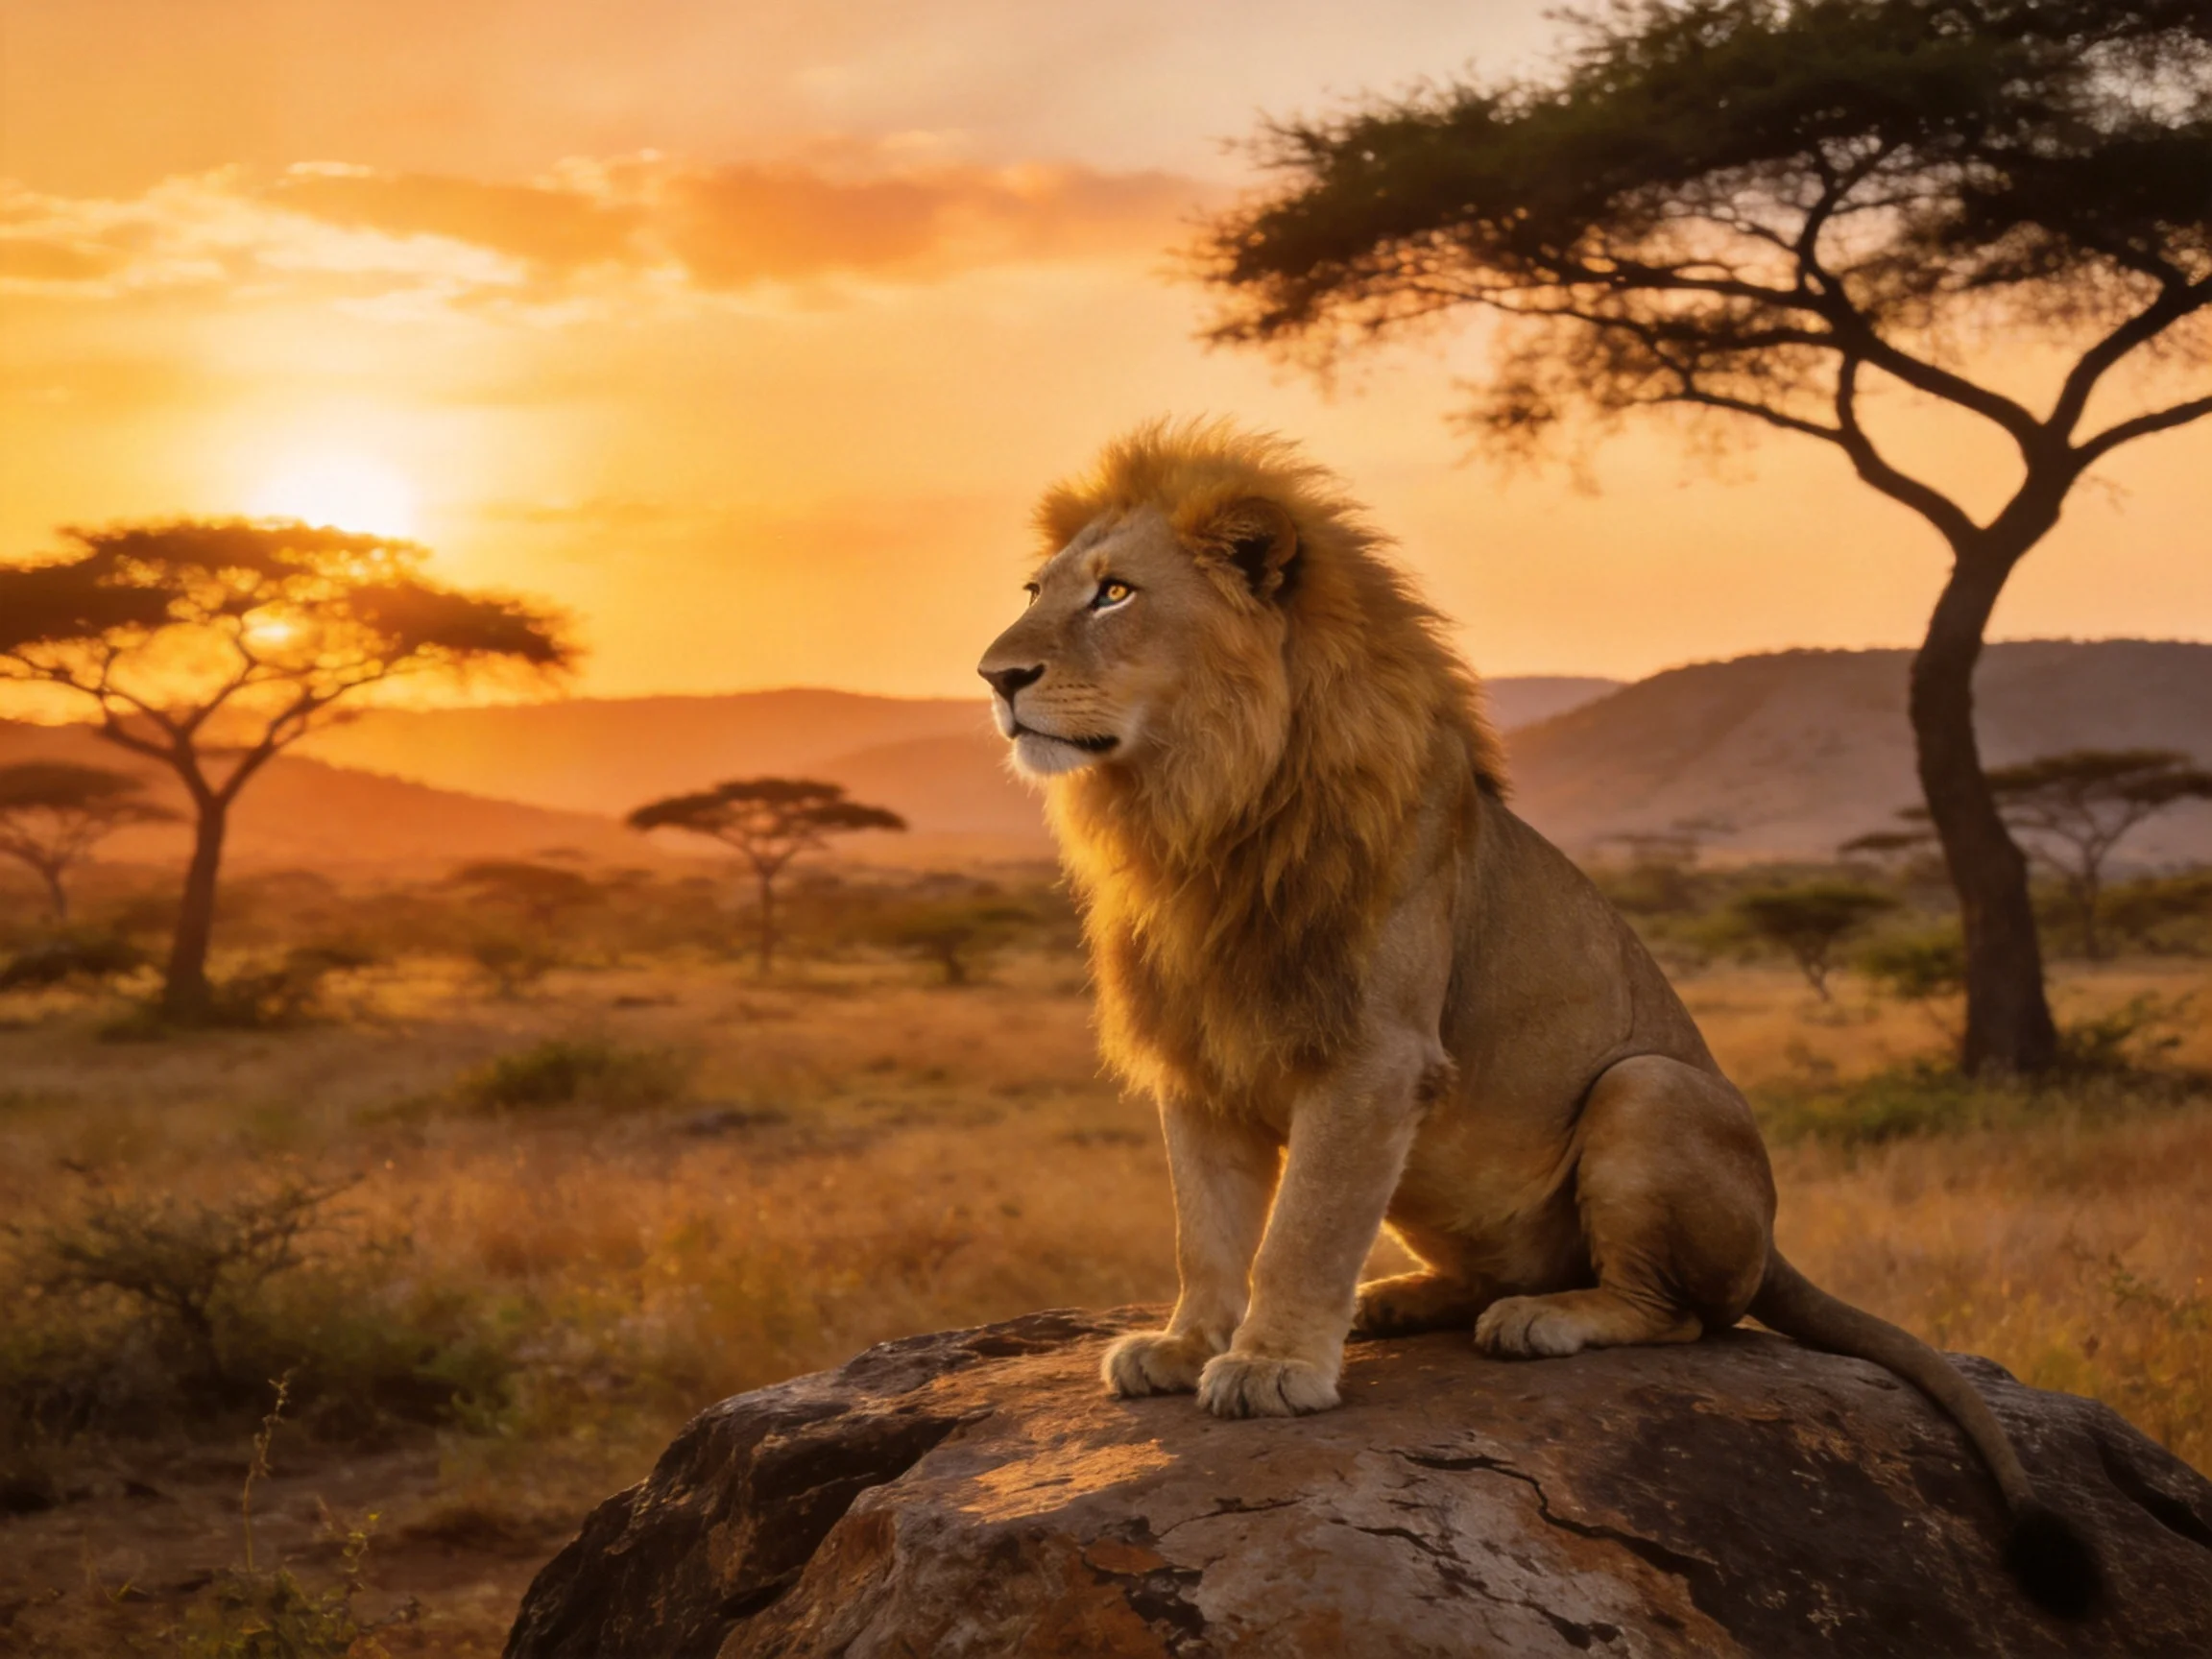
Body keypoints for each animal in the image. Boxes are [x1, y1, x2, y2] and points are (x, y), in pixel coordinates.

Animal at [976, 419, 2101, 1617]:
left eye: (1116, 595)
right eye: (1037, 590)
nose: (996, 676)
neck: (1197, 812)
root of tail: (1775, 1243)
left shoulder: (1374, 1057)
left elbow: (1304, 1230)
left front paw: (1273, 1365)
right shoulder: (1196, 1062)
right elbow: (1208, 1228)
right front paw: (1188, 1346)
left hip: (1648, 1087)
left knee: (1685, 1313)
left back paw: (1544, 1320)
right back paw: (1397, 1300)